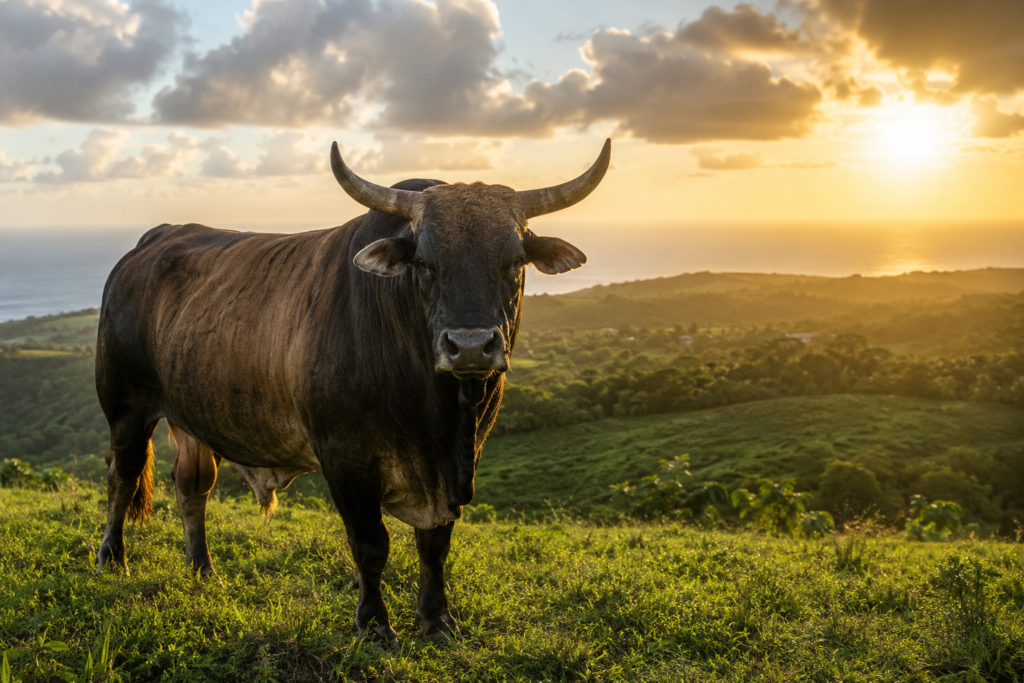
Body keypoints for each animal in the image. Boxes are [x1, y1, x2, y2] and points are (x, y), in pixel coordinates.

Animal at [94, 138, 610, 645]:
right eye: (424, 263)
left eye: (515, 261)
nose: (469, 347)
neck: (438, 415)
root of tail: (153, 240)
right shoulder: (344, 457)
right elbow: (370, 543)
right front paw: (375, 624)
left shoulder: (462, 462)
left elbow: (435, 545)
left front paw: (437, 620)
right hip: (126, 407)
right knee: (123, 476)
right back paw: (112, 557)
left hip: (192, 417)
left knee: (192, 487)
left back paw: (202, 569)